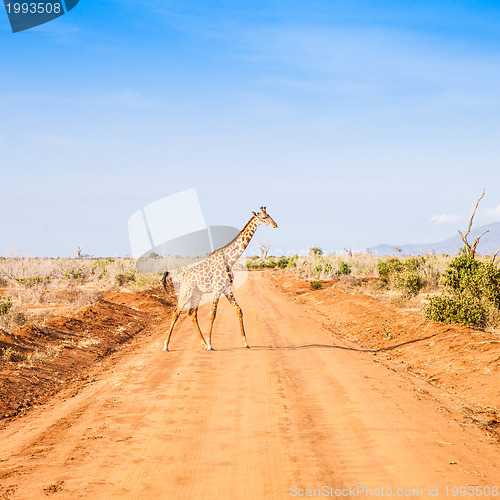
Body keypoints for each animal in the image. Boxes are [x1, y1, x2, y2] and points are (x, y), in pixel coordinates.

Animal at [162, 207, 278, 352]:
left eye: (269, 215)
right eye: (264, 217)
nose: (275, 225)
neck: (230, 259)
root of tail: (182, 276)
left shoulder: (227, 288)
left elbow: (239, 310)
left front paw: (245, 342)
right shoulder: (217, 288)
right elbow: (212, 314)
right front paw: (210, 344)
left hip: (197, 293)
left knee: (192, 313)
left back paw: (202, 343)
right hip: (186, 292)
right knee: (176, 312)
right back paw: (166, 345)